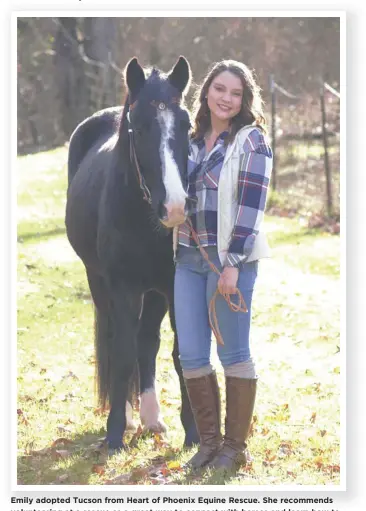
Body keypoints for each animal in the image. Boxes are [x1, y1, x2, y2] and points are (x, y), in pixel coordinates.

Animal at [64, 58, 199, 454]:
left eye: (186, 125)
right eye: (138, 128)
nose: (174, 207)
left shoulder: (173, 286)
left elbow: (180, 353)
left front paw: (193, 432)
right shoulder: (122, 287)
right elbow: (122, 353)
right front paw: (114, 433)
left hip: (153, 293)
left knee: (147, 342)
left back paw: (152, 418)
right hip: (99, 282)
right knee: (118, 340)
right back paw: (125, 414)